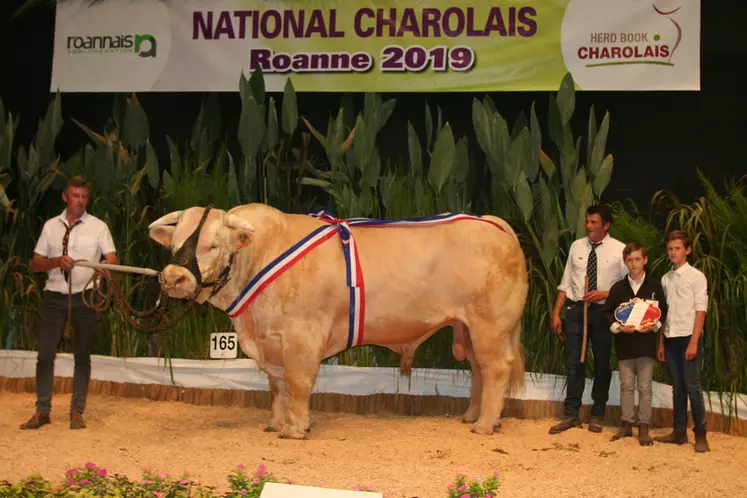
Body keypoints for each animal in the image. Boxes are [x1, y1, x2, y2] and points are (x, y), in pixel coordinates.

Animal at [149, 202, 528, 440]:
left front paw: (296, 428)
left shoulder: (301, 335)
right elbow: (278, 386)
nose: (173, 277)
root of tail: (494, 224)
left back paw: (485, 425)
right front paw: (276, 423)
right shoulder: (272, 341)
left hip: (490, 324)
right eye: (176, 244)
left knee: (496, 368)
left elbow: (298, 383)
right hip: (469, 327)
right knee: (479, 369)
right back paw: (472, 416)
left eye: (213, 245)